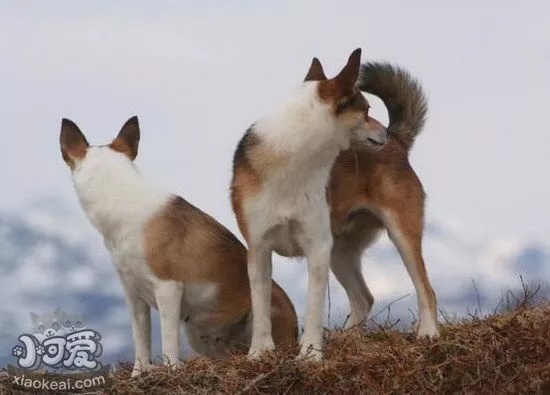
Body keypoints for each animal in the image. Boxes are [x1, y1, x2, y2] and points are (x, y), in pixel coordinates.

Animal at [230, 48, 384, 360]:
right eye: (366, 112)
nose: (385, 132)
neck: (293, 158)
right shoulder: (258, 246)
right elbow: (261, 306)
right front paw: (259, 353)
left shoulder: (318, 246)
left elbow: (314, 308)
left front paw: (311, 354)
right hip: (340, 253)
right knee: (362, 298)